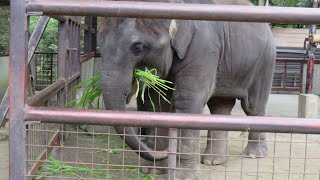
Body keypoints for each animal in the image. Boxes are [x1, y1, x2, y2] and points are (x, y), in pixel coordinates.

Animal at [97, 0, 276, 179]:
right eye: (99, 47)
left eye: (138, 48)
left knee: (253, 107)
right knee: (220, 106)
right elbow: (158, 103)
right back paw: (213, 161)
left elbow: (188, 101)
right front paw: (152, 171)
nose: (166, 151)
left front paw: (184, 176)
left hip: (264, 63)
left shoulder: (203, 47)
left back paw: (253, 154)